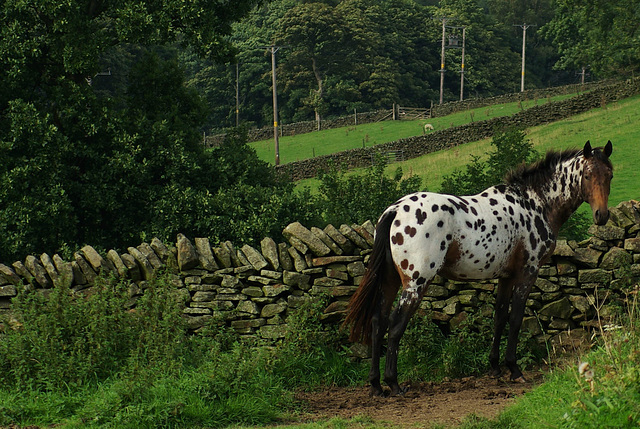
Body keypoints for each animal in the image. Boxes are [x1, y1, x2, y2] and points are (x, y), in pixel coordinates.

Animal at [344, 140, 616, 394]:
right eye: (588, 175)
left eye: (610, 175)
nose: (602, 216)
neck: (534, 203)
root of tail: (395, 209)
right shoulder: (527, 273)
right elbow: (515, 319)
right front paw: (514, 370)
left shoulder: (505, 276)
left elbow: (499, 318)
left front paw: (495, 367)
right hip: (415, 284)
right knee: (395, 325)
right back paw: (394, 383)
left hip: (389, 282)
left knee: (377, 322)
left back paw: (376, 384)